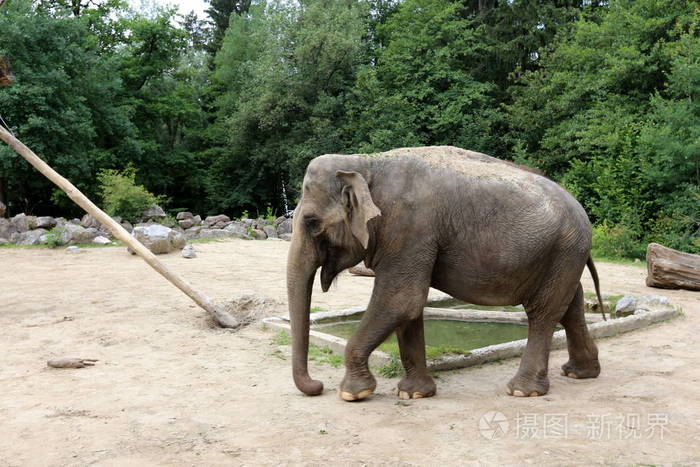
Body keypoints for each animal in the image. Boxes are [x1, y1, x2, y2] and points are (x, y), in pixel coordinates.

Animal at [287, 146, 604, 401]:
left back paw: (522, 391)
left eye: (312, 223)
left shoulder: (410, 228)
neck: (365, 163)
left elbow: (401, 299)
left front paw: (354, 394)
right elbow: (409, 307)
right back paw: (580, 373)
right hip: (563, 254)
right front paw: (413, 393)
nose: (317, 385)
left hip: (564, 248)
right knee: (570, 304)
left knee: (543, 312)